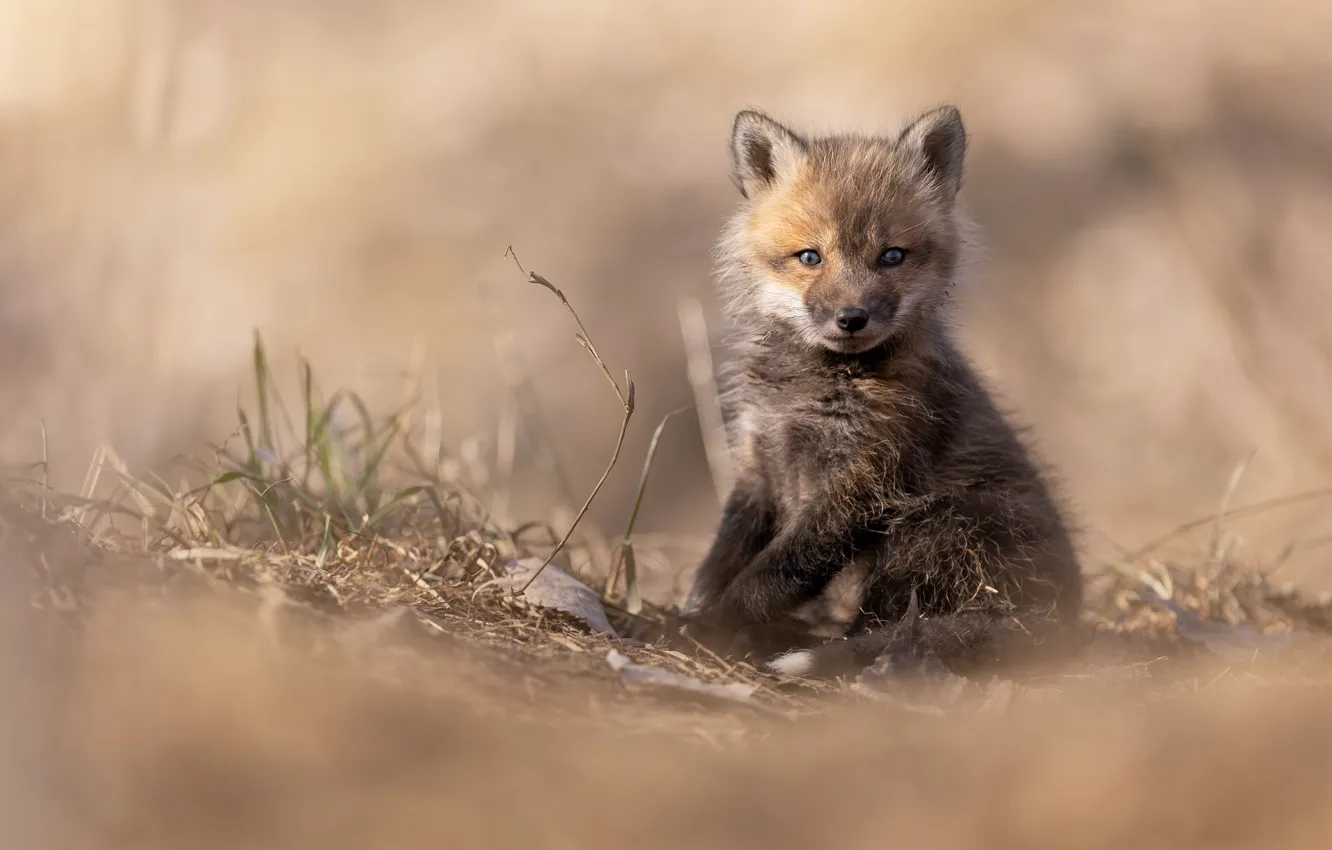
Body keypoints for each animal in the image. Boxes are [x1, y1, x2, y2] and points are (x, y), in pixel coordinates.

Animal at [687, 105, 1081, 679]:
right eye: (810, 257)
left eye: (892, 256)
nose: (851, 318)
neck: (812, 389)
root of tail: (1062, 621)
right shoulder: (759, 459)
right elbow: (723, 555)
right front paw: (694, 612)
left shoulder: (868, 479)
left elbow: (776, 571)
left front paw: (718, 625)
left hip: (930, 527)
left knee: (883, 628)